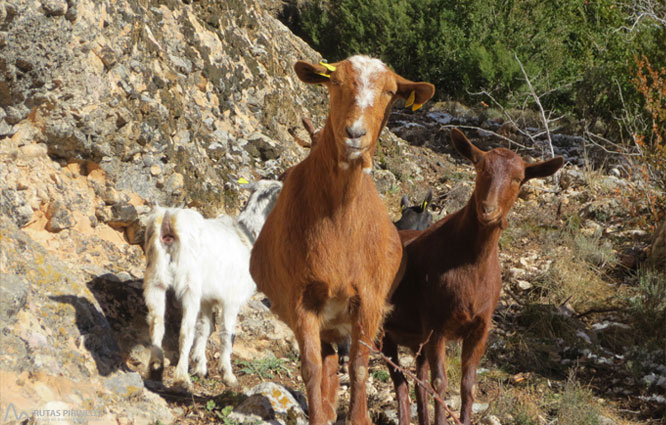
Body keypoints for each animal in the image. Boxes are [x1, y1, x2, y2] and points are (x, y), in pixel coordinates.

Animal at [143, 179, 280, 388]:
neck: (246, 235)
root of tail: (168, 220)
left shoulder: (207, 299)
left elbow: (205, 328)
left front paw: (200, 367)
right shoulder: (231, 298)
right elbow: (226, 333)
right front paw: (227, 374)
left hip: (155, 278)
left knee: (157, 323)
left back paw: (155, 368)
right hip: (189, 285)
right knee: (185, 330)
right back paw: (181, 378)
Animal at [248, 56, 430, 424]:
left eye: (391, 92)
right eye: (334, 83)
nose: (355, 134)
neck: (340, 223)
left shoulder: (370, 300)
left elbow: (359, 367)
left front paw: (358, 417)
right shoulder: (301, 299)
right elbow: (311, 368)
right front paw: (319, 414)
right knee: (326, 359)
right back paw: (328, 405)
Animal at [382, 128, 564, 424]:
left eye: (518, 179)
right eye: (479, 168)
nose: (488, 210)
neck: (469, 265)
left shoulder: (479, 328)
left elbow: (468, 385)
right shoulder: (436, 325)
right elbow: (440, 383)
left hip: (413, 337)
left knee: (415, 379)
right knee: (395, 380)